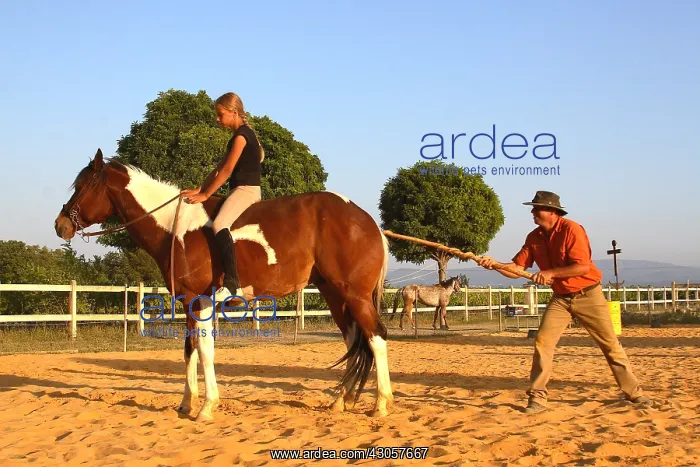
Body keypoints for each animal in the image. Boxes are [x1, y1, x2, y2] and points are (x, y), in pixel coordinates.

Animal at [54, 149, 394, 421]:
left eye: (82, 186)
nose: (60, 225)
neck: (176, 227)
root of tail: (368, 222)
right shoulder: (188, 304)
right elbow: (189, 349)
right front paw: (186, 404)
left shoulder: (202, 301)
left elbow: (205, 351)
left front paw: (206, 407)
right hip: (335, 295)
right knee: (354, 341)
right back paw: (341, 401)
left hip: (355, 296)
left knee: (376, 338)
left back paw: (381, 404)